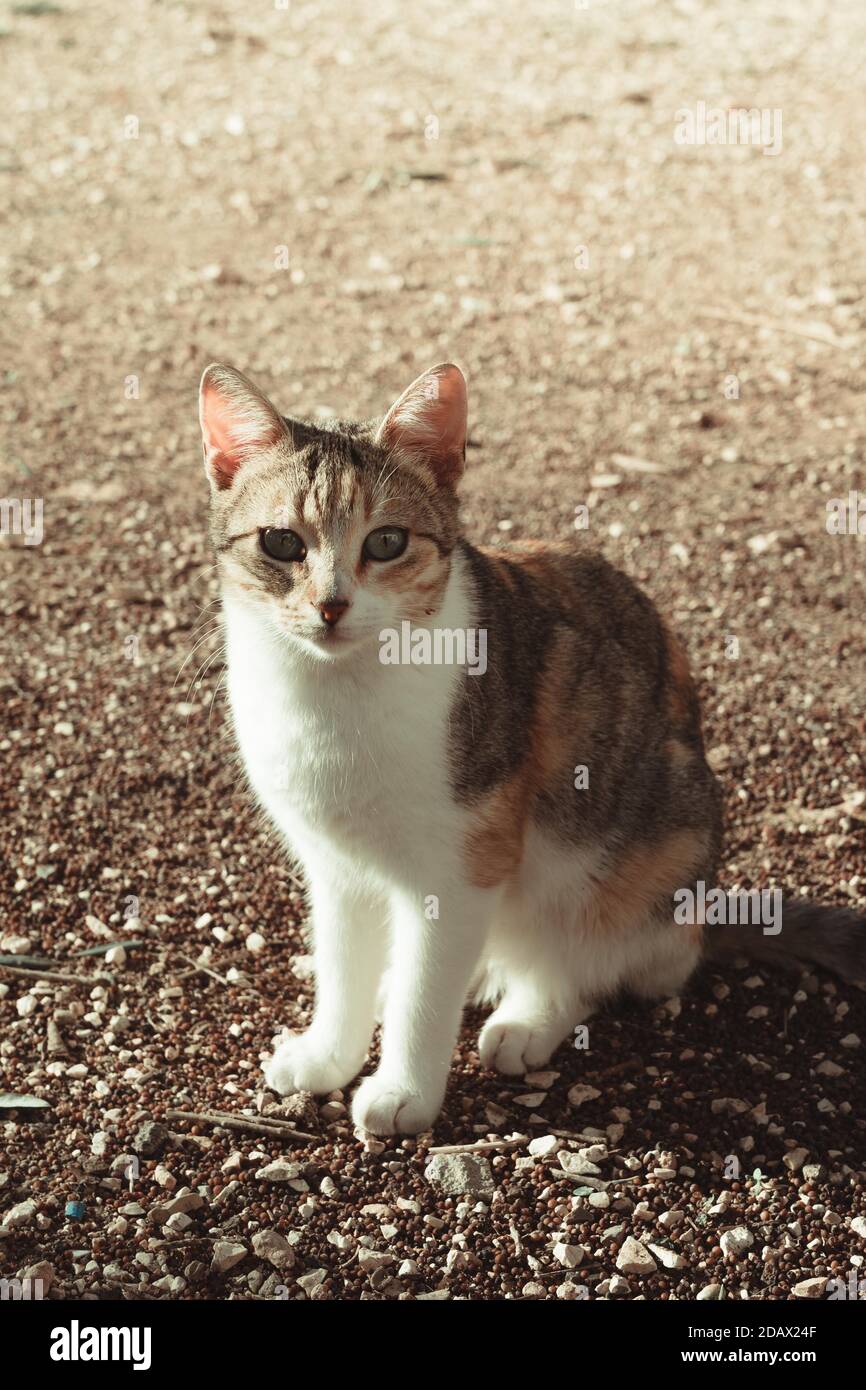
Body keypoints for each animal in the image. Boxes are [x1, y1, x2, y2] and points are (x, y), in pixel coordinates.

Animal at [200, 364, 866, 1134]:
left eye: (386, 542)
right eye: (281, 543)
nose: (331, 605)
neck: (334, 697)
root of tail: (706, 916)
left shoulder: (465, 860)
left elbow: (430, 993)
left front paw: (404, 1090)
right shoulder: (334, 864)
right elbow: (342, 967)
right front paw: (329, 1055)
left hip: (626, 847)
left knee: (585, 957)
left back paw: (526, 1018)